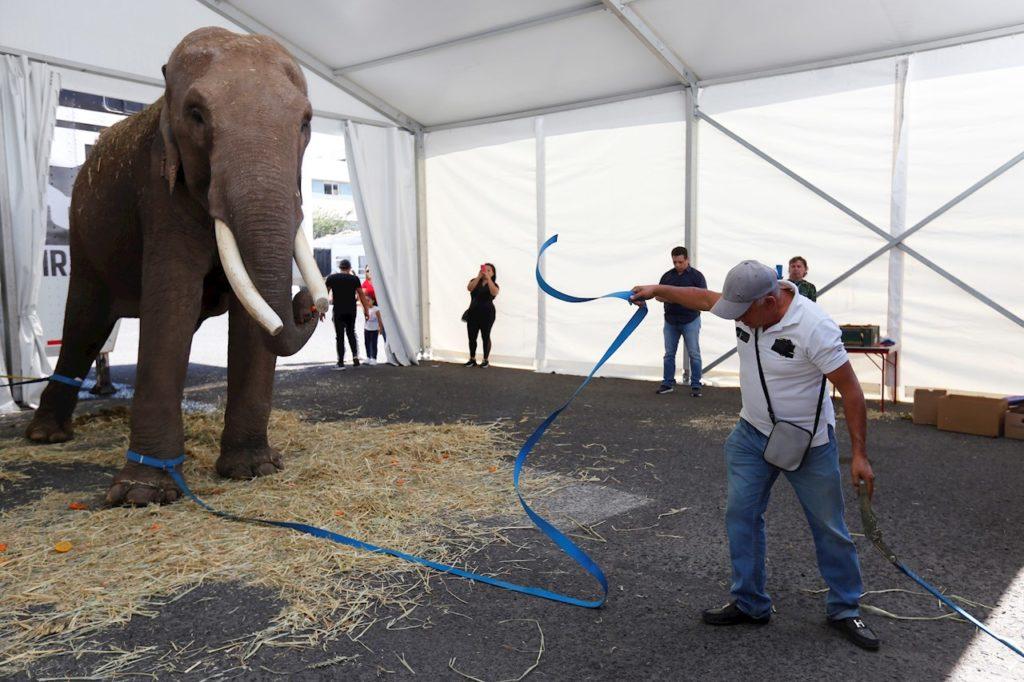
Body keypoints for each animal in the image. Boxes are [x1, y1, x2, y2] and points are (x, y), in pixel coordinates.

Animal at [24, 26, 327, 501]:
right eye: (196, 115)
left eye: (306, 122)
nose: (308, 305)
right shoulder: (159, 190)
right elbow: (172, 302)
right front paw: (141, 494)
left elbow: (249, 316)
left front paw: (254, 469)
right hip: (84, 237)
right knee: (84, 326)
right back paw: (47, 437)